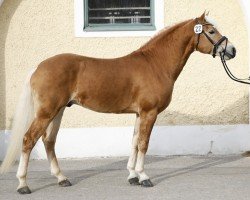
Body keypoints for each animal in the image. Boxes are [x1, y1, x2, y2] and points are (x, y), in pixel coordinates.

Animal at [0, 12, 236, 194]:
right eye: (211, 32)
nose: (232, 50)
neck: (155, 64)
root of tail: (39, 67)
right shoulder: (149, 112)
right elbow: (143, 144)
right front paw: (143, 177)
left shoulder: (139, 113)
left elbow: (134, 142)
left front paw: (132, 176)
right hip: (46, 112)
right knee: (28, 139)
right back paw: (23, 185)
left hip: (57, 112)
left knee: (48, 141)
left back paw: (61, 178)